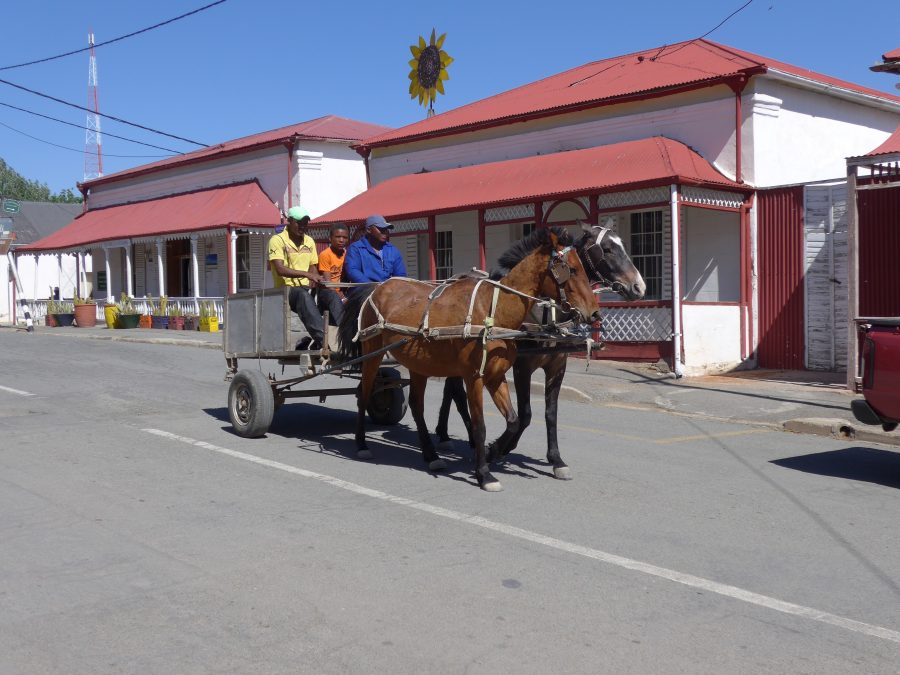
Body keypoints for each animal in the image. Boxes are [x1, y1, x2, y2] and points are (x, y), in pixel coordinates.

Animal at [336, 227, 596, 492]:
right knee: (364, 394)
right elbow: (479, 426)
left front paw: (492, 453)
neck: (493, 312)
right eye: (572, 269)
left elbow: (513, 420)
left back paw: (431, 456)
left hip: (418, 364)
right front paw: (484, 474)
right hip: (372, 354)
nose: (594, 312)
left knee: (417, 406)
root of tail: (377, 288)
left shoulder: (496, 375)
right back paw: (362, 444)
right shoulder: (475, 378)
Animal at [436, 222, 648, 480]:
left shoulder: (557, 366)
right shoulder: (522, 367)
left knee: (451, 390)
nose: (639, 287)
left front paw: (556, 459)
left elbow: (551, 413)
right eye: (607, 249)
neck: (546, 311)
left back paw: (446, 435)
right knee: (456, 392)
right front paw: (498, 449)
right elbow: (525, 414)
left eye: (623, 246)